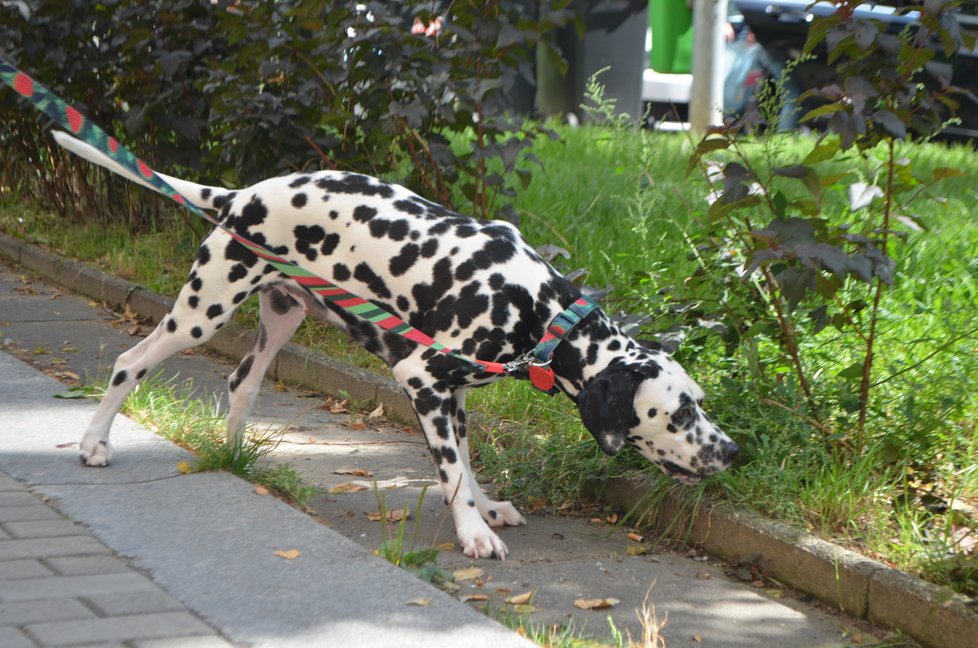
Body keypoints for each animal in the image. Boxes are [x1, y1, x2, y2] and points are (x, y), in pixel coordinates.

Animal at [53, 130, 736, 556]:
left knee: (241, 381)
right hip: (202, 312)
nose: (733, 452)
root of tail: (241, 195)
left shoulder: (455, 396)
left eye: (700, 403)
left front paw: (487, 508)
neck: (540, 312)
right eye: (678, 413)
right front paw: (473, 534)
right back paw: (92, 443)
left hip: (279, 321)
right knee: (129, 362)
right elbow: (451, 472)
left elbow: (466, 460)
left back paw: (235, 455)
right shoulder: (423, 380)